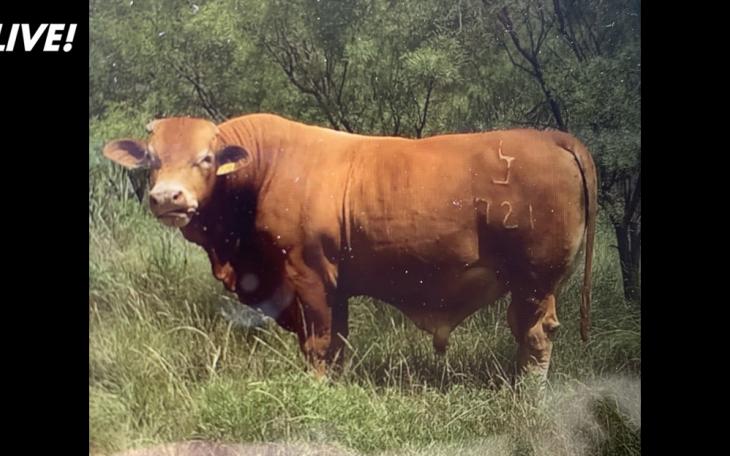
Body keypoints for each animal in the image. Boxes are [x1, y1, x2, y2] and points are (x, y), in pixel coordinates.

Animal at [102, 113, 597, 380]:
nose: (168, 197)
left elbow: (319, 341)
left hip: (534, 280)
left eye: (205, 159)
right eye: (151, 159)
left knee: (535, 335)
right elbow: (337, 340)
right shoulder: (333, 284)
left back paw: (525, 394)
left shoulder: (308, 276)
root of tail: (550, 136)